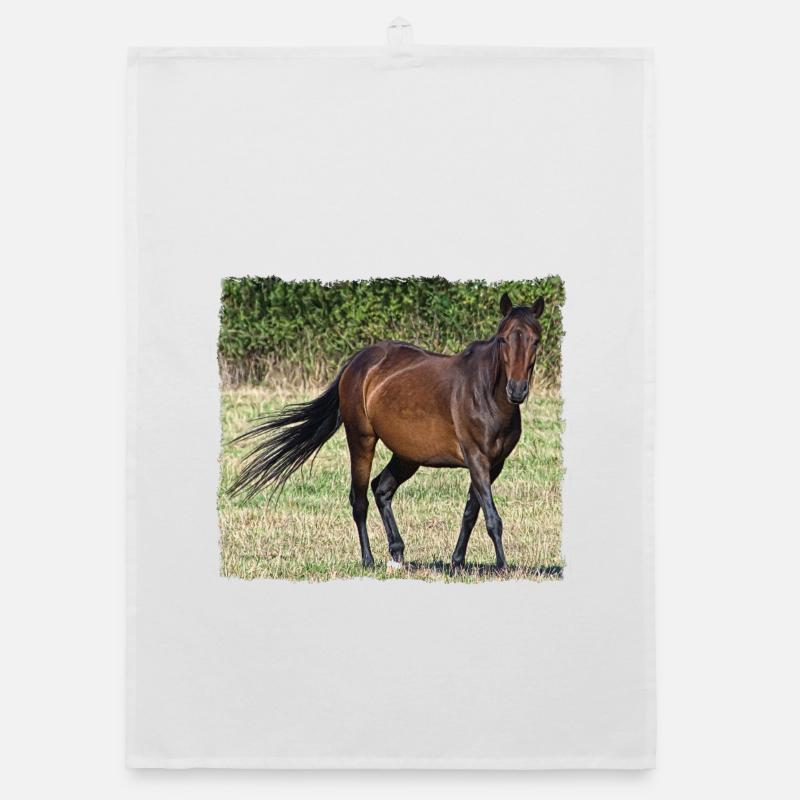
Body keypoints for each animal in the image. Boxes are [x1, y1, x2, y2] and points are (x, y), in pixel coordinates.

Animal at [228, 292, 544, 571]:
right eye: (503, 339)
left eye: (535, 340)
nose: (517, 390)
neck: (486, 393)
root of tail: (358, 362)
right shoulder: (477, 459)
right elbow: (491, 518)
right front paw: (502, 566)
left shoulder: (494, 464)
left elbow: (471, 513)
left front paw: (457, 562)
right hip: (361, 441)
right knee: (359, 500)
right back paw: (368, 560)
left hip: (407, 455)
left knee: (382, 489)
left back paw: (397, 552)